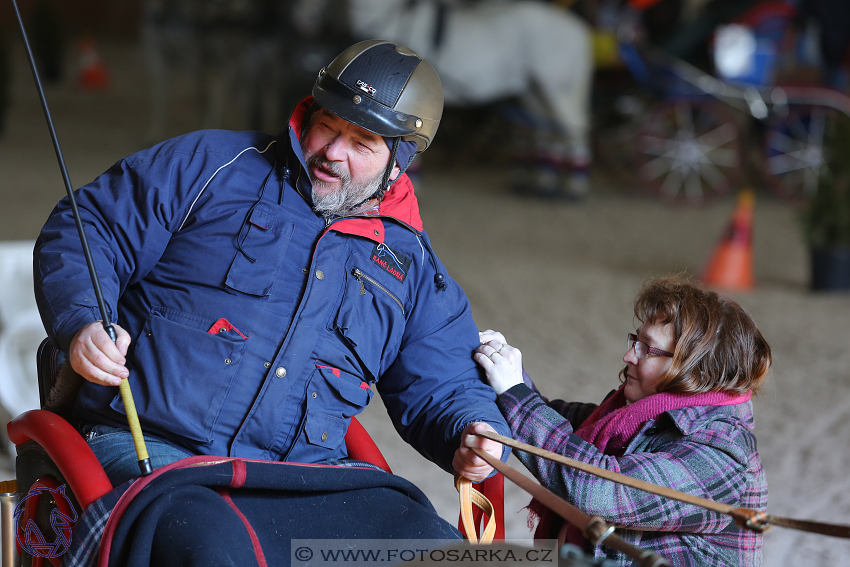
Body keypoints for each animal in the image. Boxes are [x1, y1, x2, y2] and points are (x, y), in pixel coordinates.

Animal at [344, 0, 588, 193]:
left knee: (572, 127)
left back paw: (574, 186)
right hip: (534, 91)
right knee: (546, 128)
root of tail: (578, 29)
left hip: (559, 88)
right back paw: (542, 179)